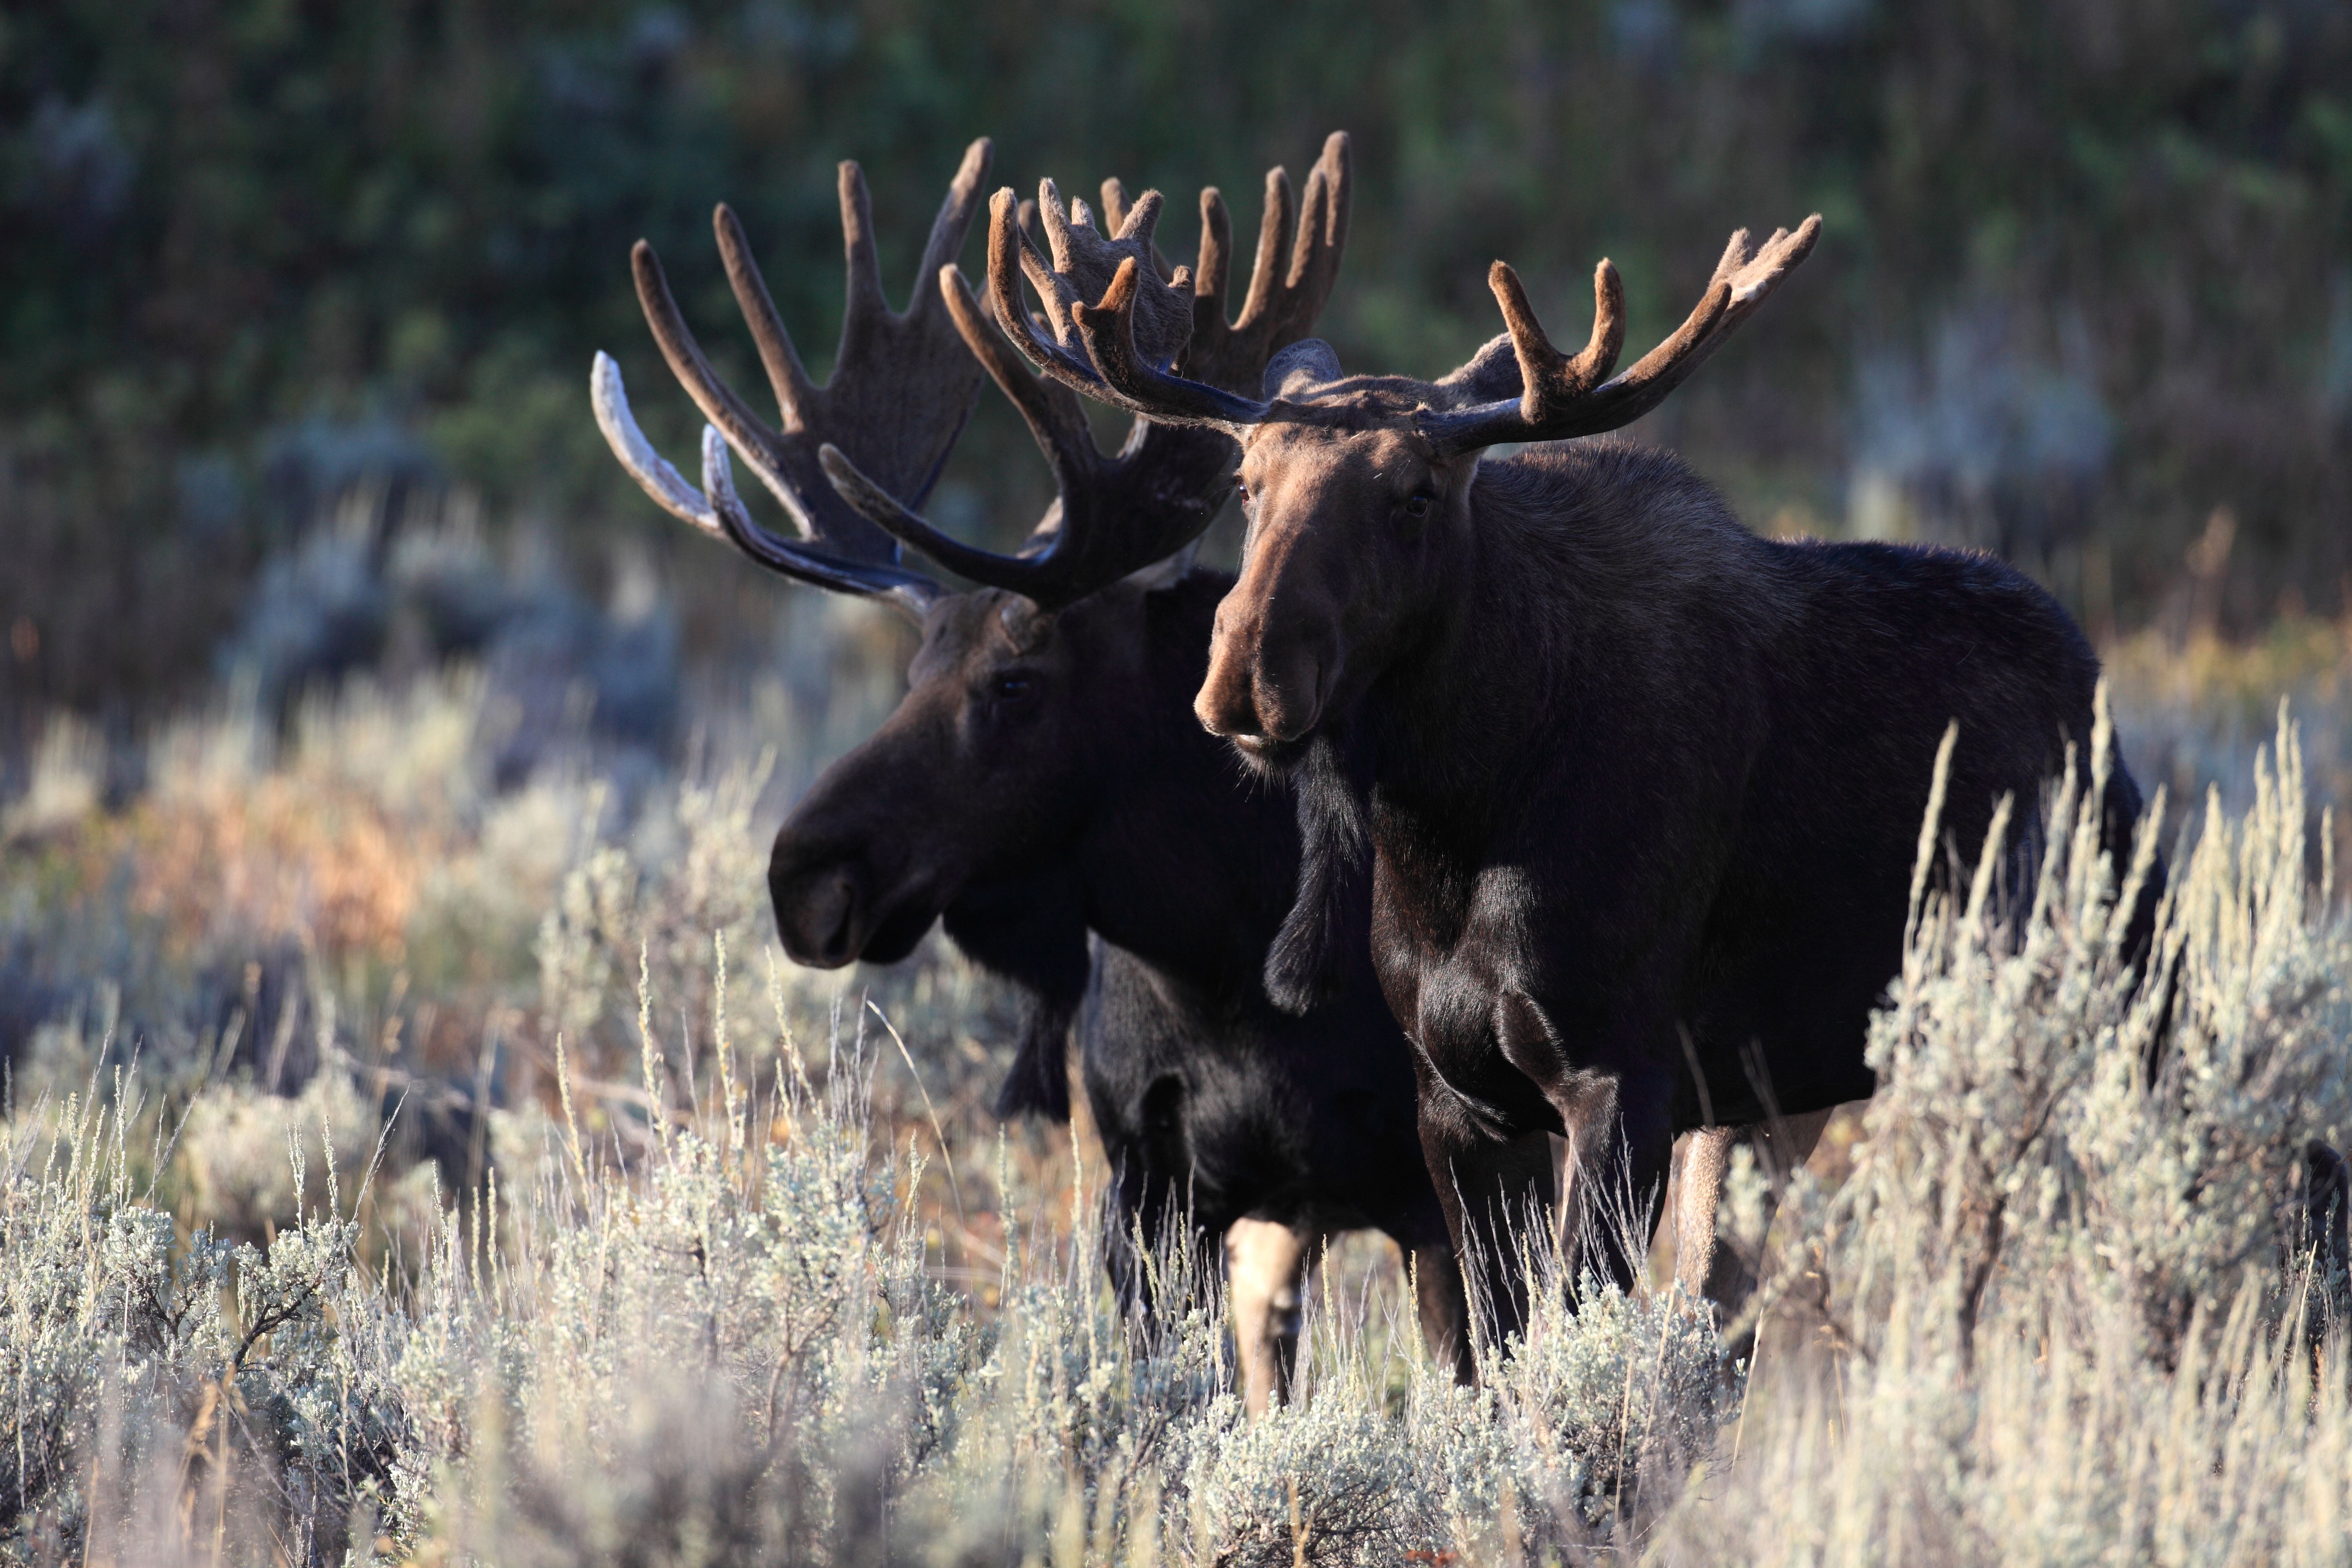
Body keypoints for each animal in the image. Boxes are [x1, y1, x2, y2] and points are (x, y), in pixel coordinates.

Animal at [590, 134, 1495, 1409]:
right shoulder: (1149, 1184)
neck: (1228, 964)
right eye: (912, 665)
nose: (803, 876)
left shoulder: (1430, 1185)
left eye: (1016, 682)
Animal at [850, 182, 2169, 1342]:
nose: (1244, 681)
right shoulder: (1459, 1098)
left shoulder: (1619, 1077)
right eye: (1247, 482)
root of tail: (2089, 677)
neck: (1453, 822)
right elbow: (1490, 1358)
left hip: (2116, 997)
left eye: (1416, 492)